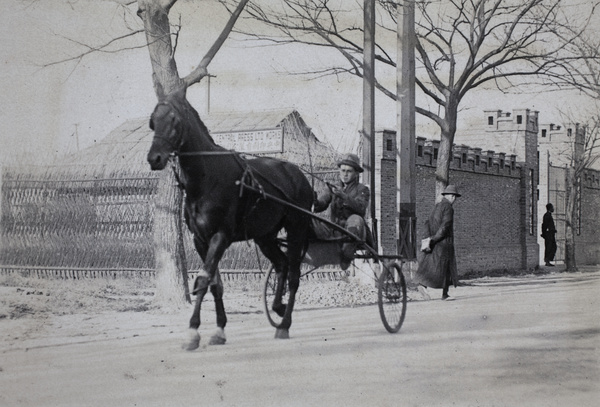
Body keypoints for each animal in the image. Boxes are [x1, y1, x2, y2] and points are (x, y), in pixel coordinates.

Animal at [147, 87, 312, 350]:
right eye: (153, 121)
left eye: (174, 120)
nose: (155, 158)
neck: (207, 176)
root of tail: (299, 175)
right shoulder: (200, 240)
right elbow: (215, 284)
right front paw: (219, 329)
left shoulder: (220, 236)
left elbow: (203, 280)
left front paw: (192, 331)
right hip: (265, 237)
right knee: (281, 265)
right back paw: (278, 306)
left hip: (297, 229)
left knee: (294, 275)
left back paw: (284, 323)